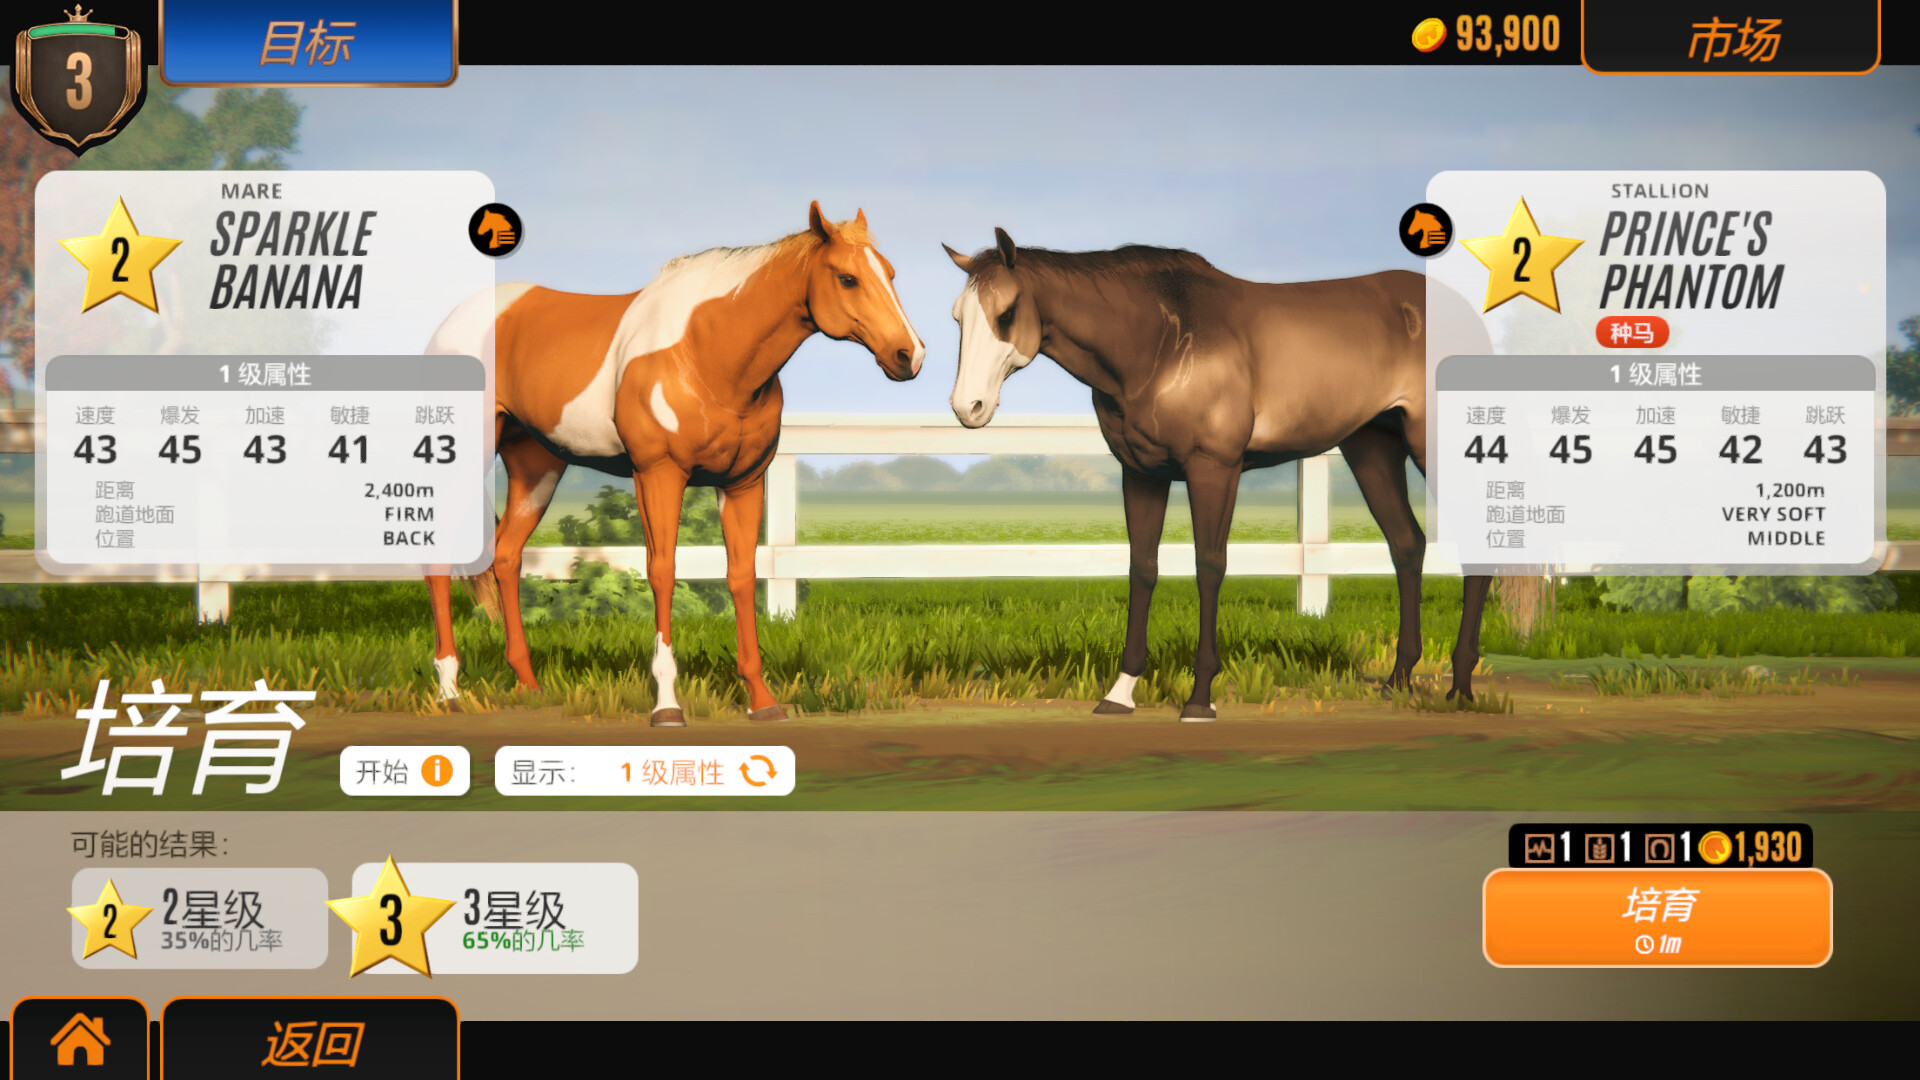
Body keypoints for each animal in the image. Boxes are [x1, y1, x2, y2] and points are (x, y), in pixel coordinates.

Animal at [424, 203, 924, 726]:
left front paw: (762, 699)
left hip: (535, 464)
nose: (909, 355)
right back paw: (449, 689)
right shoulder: (658, 474)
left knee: (506, 556)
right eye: (847, 278)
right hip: (466, 454)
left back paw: (529, 684)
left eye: (890, 273)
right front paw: (667, 704)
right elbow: (662, 570)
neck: (706, 354)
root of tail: (453, 323)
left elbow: (741, 577)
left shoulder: (744, 482)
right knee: (441, 558)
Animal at [942, 228, 1493, 720]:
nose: (968, 408)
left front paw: (1199, 698)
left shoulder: (1214, 468)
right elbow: (1142, 568)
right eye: (958, 318)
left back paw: (1460, 689)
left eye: (1007, 312)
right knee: (1407, 544)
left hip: (1436, 444)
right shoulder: (1141, 473)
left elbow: (1209, 566)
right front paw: (1120, 693)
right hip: (1372, 447)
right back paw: (1399, 680)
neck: (1160, 341)